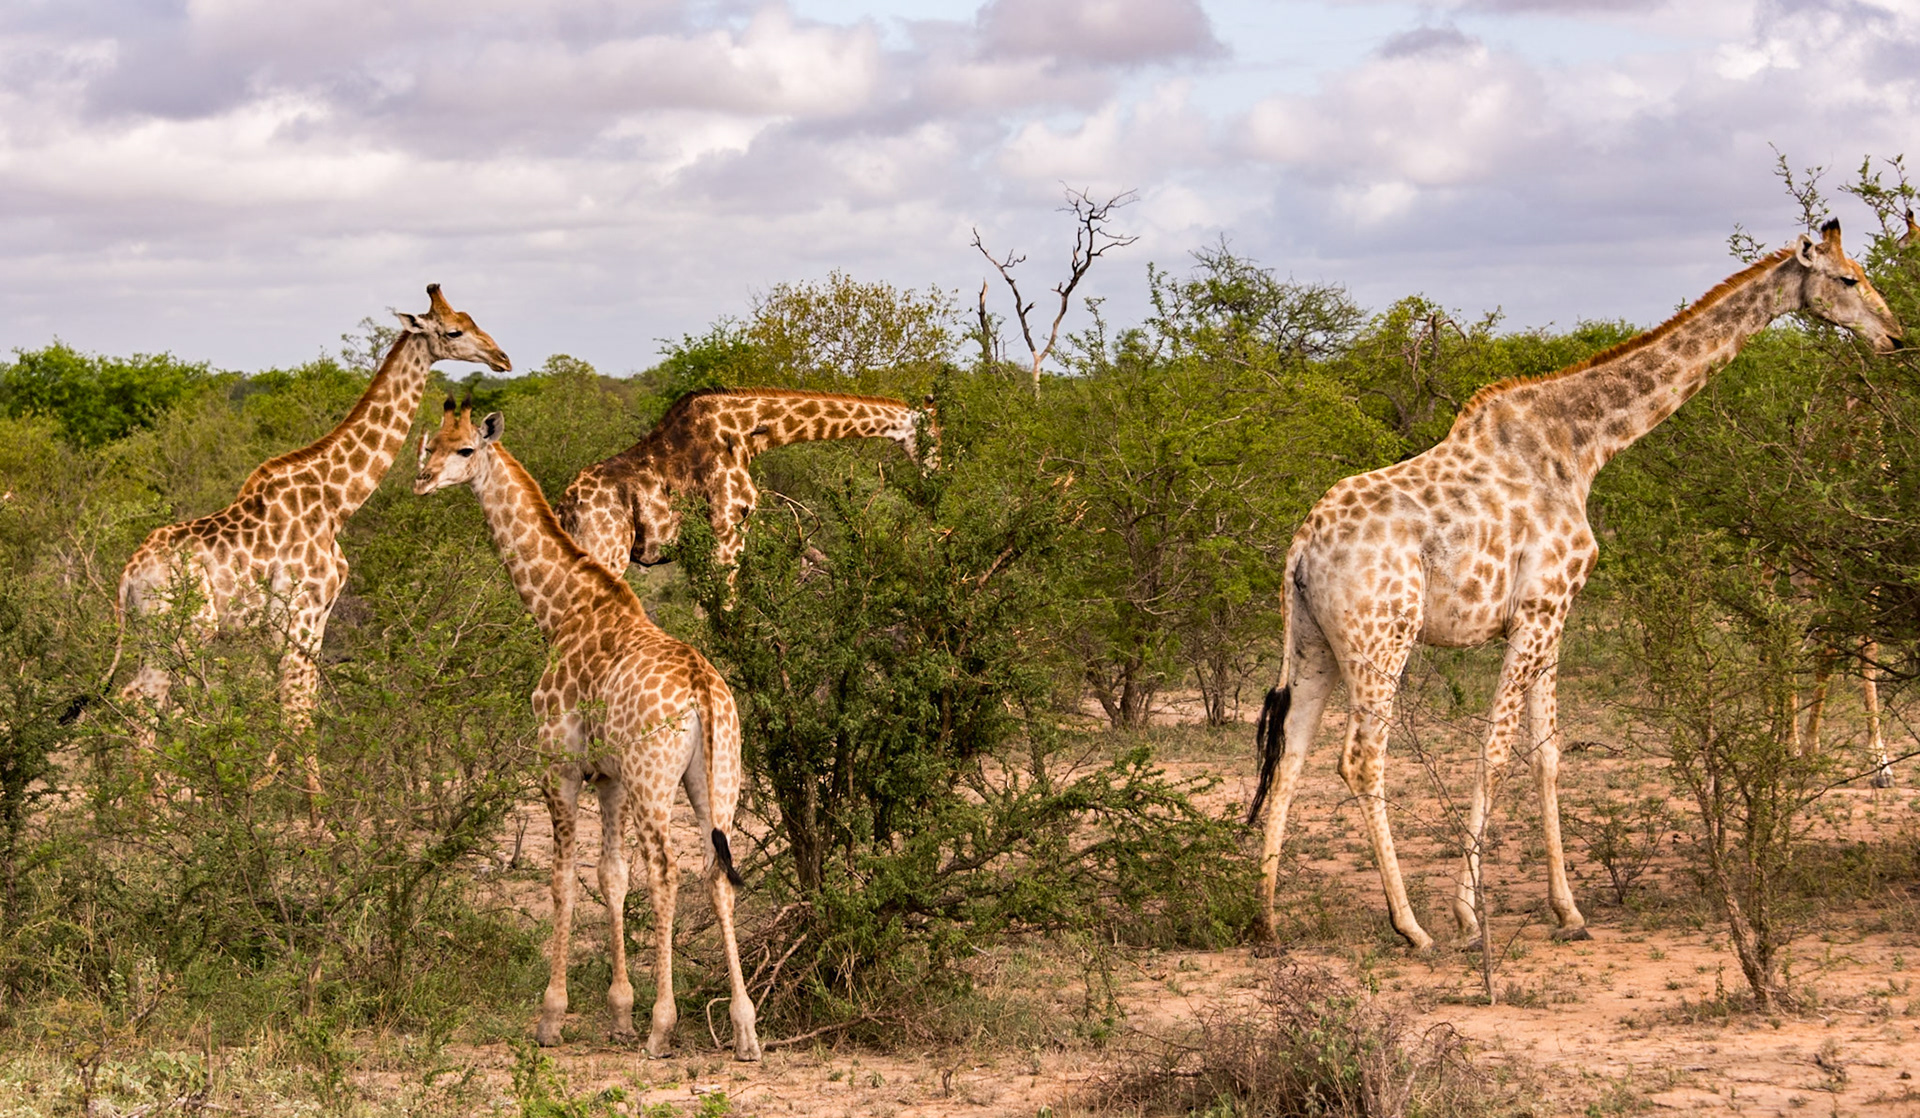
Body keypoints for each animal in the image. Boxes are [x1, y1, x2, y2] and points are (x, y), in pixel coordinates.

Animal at [114, 285, 509, 813]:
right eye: (454, 331)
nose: (502, 357)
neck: (338, 500)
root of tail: (128, 574)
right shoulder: (297, 615)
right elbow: (297, 712)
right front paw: (315, 814)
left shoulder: (318, 618)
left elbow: (306, 707)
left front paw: (285, 794)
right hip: (183, 631)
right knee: (141, 703)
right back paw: (145, 817)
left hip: (151, 634)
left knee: (133, 701)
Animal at [412, 398, 761, 1061]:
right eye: (426, 443)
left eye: (464, 449)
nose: (420, 480)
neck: (560, 608)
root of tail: (704, 691)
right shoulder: (611, 778)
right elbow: (610, 876)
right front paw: (619, 1012)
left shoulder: (561, 767)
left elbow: (563, 880)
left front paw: (552, 1016)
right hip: (717, 778)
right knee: (717, 873)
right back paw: (745, 1028)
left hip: (656, 781)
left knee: (668, 872)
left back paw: (663, 1027)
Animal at [554, 388, 935, 578]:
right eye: (935, 435)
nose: (935, 478)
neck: (748, 434)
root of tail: (563, 506)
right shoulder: (728, 532)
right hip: (607, 553)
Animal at [1247, 221, 1906, 951]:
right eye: (1848, 279)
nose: (1896, 336)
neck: (1584, 446)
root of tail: (1302, 548)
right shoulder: (1538, 610)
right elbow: (1495, 751)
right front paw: (1469, 914)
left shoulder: (1556, 616)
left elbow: (1547, 755)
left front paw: (1567, 910)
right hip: (1381, 640)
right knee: (1361, 759)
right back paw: (1410, 926)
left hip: (1313, 644)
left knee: (1290, 754)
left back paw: (1266, 918)